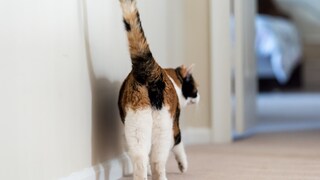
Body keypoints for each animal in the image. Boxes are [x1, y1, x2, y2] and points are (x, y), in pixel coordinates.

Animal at [119, 0, 199, 179]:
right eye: (196, 90)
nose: (199, 97)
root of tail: (150, 70)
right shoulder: (175, 126)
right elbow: (179, 144)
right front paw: (183, 166)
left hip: (137, 126)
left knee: (140, 160)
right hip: (163, 128)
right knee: (158, 161)